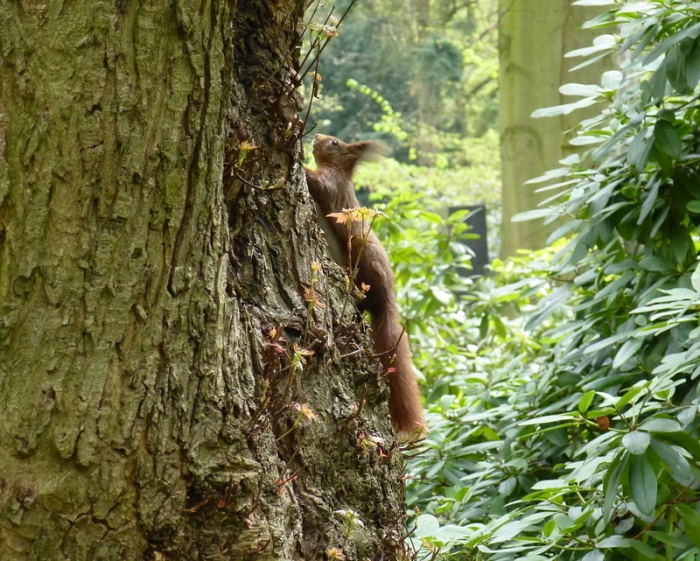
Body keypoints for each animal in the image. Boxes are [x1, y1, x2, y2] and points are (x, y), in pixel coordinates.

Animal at [304, 134, 425, 437]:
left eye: (335, 143)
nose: (317, 136)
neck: (341, 171)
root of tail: (386, 300)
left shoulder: (332, 184)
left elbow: (317, 184)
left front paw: (300, 165)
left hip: (363, 262)